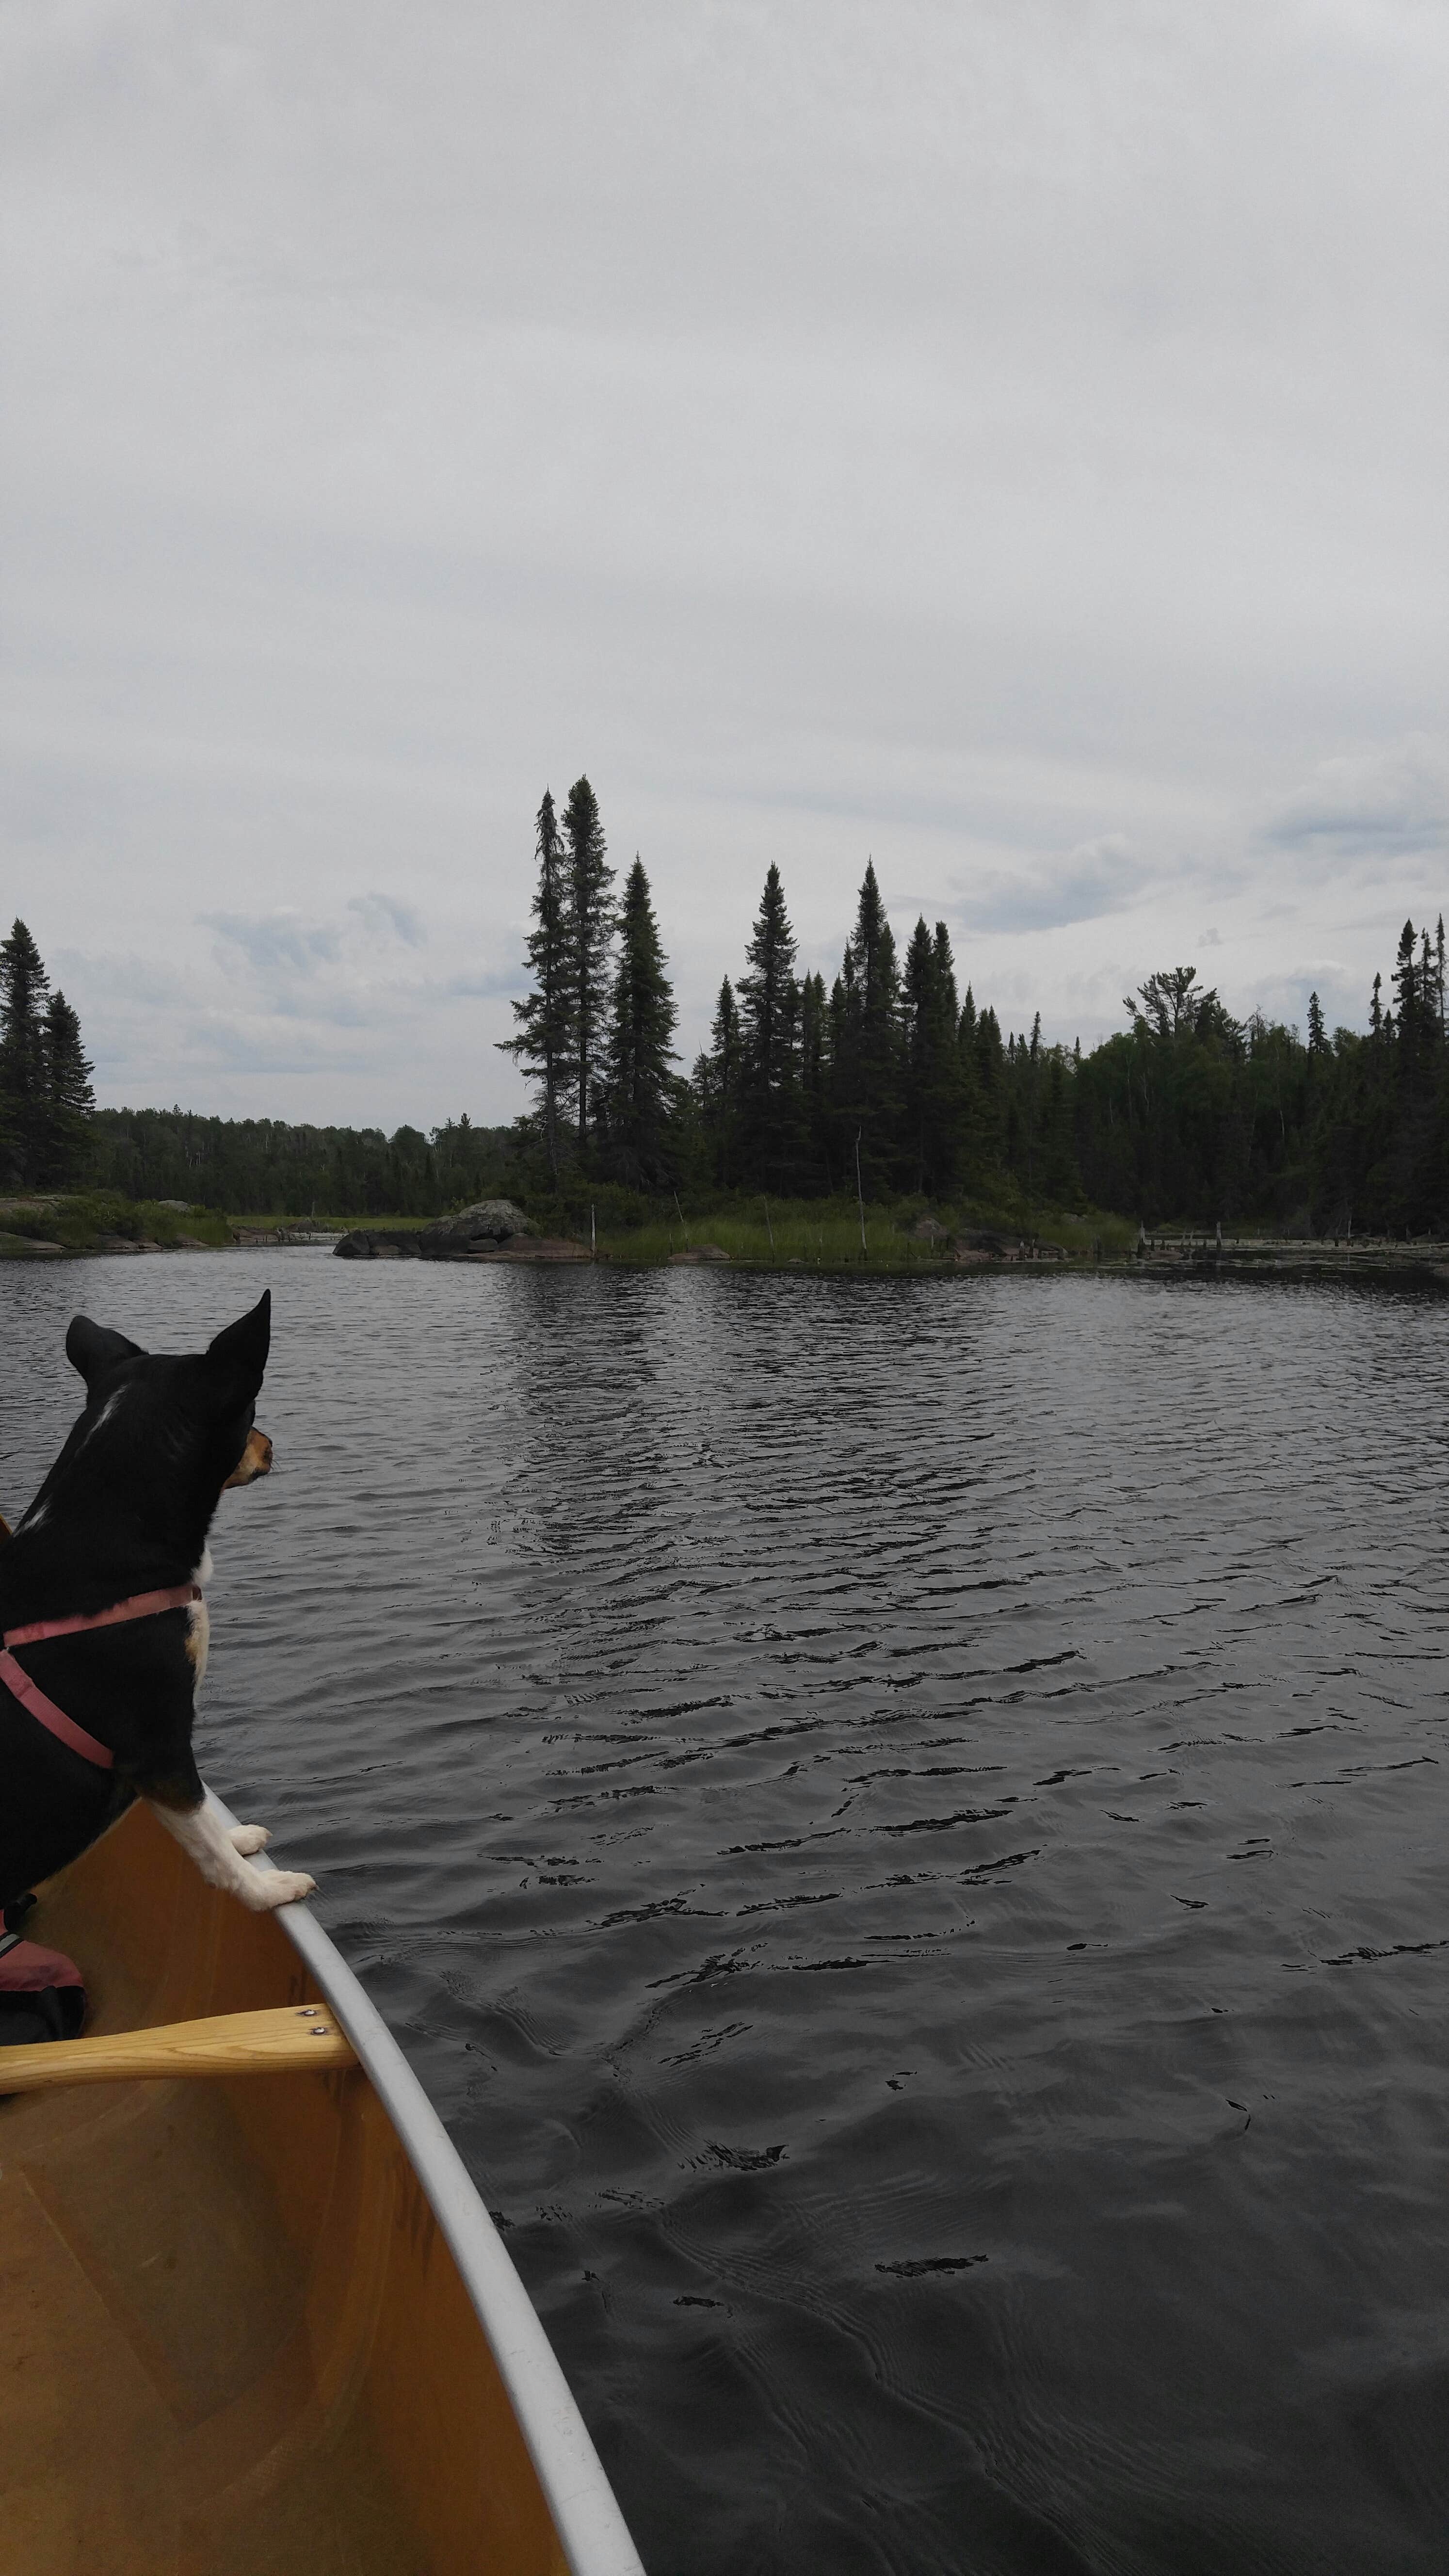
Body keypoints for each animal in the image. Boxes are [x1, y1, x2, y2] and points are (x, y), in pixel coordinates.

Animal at [0, 1298, 314, 1927]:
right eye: (251, 1412)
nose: (272, 1444)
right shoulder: (156, 1744)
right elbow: (204, 1838)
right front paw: (266, 1888)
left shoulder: (162, 1754)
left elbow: (201, 1818)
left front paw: (239, 1837)